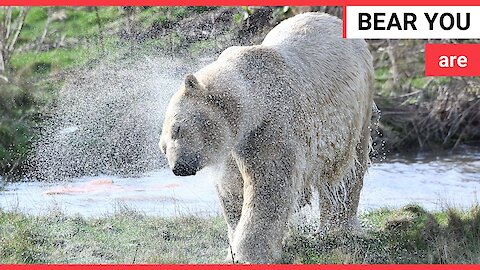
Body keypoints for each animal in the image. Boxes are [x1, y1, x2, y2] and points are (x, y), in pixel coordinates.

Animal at [159, 12, 374, 264]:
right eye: (163, 147)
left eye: (178, 128)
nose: (179, 167)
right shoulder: (234, 144)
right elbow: (231, 188)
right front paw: (232, 249)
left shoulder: (271, 125)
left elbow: (269, 185)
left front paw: (249, 253)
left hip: (357, 111)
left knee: (347, 171)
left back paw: (338, 230)